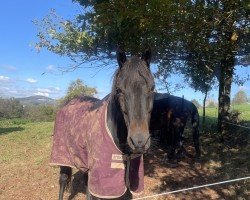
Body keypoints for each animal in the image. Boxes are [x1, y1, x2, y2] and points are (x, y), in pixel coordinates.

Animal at [50, 47, 155, 200]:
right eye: (119, 90)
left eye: (152, 88)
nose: (139, 142)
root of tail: (67, 103)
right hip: (63, 156)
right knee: (63, 180)